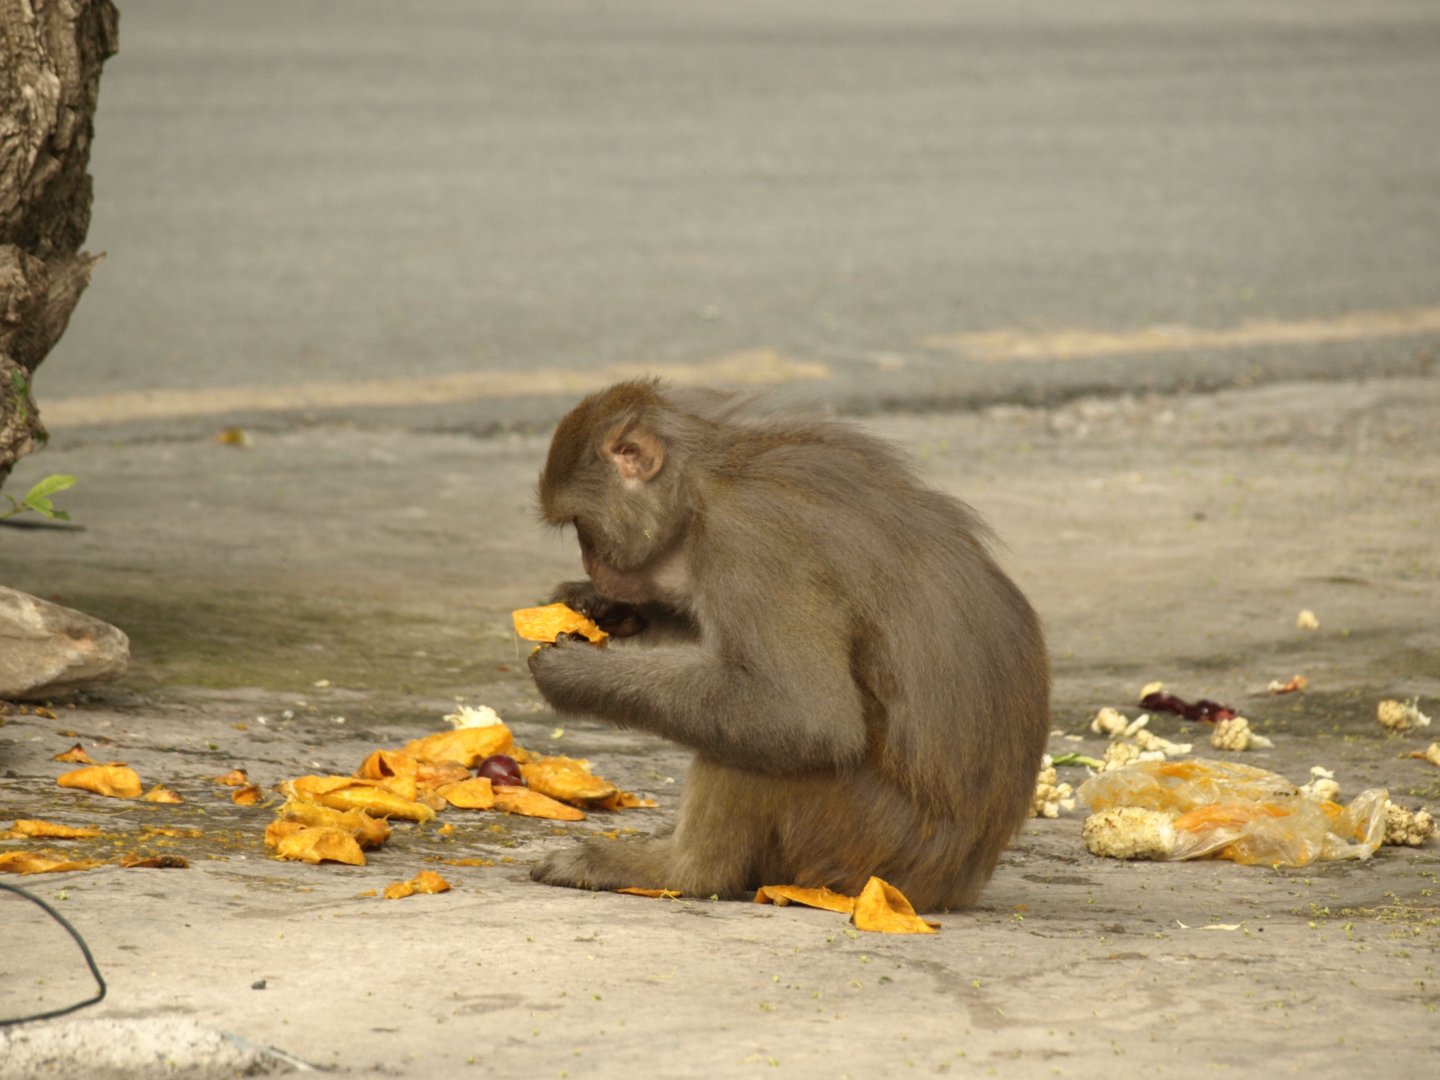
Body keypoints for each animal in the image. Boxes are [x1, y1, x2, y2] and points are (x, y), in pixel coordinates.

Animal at [526, 379, 1049, 911]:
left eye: (581, 527)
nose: (591, 566)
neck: (709, 480)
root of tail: (950, 885)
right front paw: (599, 606)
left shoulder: (746, 538)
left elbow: (804, 717)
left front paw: (573, 675)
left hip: (858, 842)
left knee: (764, 741)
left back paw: (677, 871)